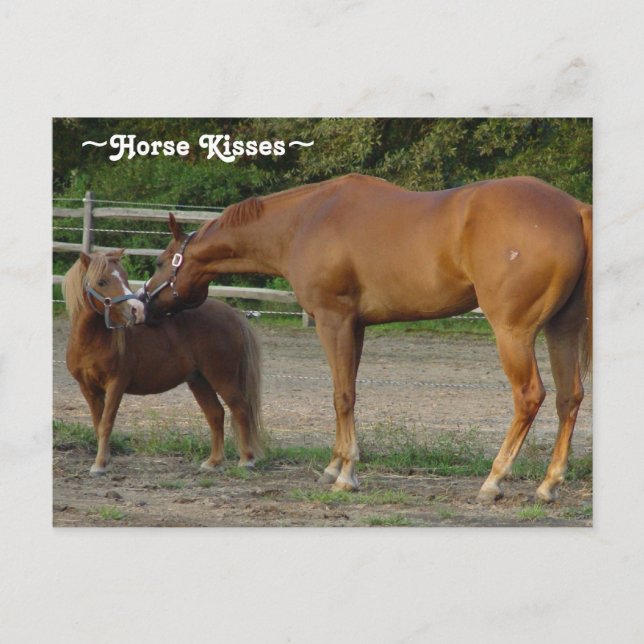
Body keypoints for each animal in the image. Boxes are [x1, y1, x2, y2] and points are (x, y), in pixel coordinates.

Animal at [62, 249, 264, 476]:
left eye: (124, 277)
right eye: (101, 281)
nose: (137, 310)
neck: (91, 342)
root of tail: (233, 315)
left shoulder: (116, 384)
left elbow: (106, 423)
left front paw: (99, 465)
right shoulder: (88, 388)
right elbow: (98, 425)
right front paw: (103, 460)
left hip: (222, 377)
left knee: (240, 410)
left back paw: (246, 460)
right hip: (199, 380)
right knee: (215, 414)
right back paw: (213, 462)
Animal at [142, 174, 592, 503]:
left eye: (162, 262)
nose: (143, 305)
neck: (305, 221)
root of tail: (573, 209)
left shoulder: (333, 320)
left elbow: (342, 396)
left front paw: (347, 475)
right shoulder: (355, 327)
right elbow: (347, 393)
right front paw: (333, 466)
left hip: (513, 333)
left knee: (530, 396)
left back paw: (493, 481)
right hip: (562, 329)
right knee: (570, 397)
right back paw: (548, 485)